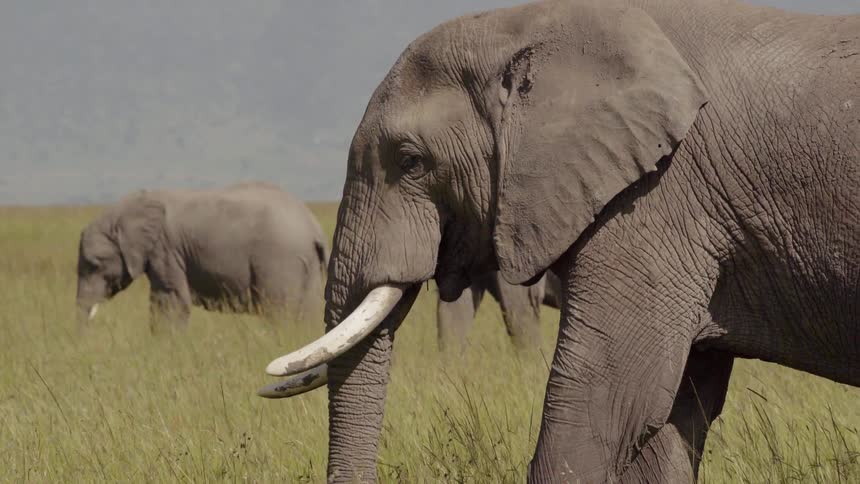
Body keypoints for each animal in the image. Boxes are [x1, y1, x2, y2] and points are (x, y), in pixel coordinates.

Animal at [76, 182, 328, 327]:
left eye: (94, 265)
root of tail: (313, 227)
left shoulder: (165, 248)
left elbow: (171, 301)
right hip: (307, 264)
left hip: (280, 261)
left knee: (277, 311)